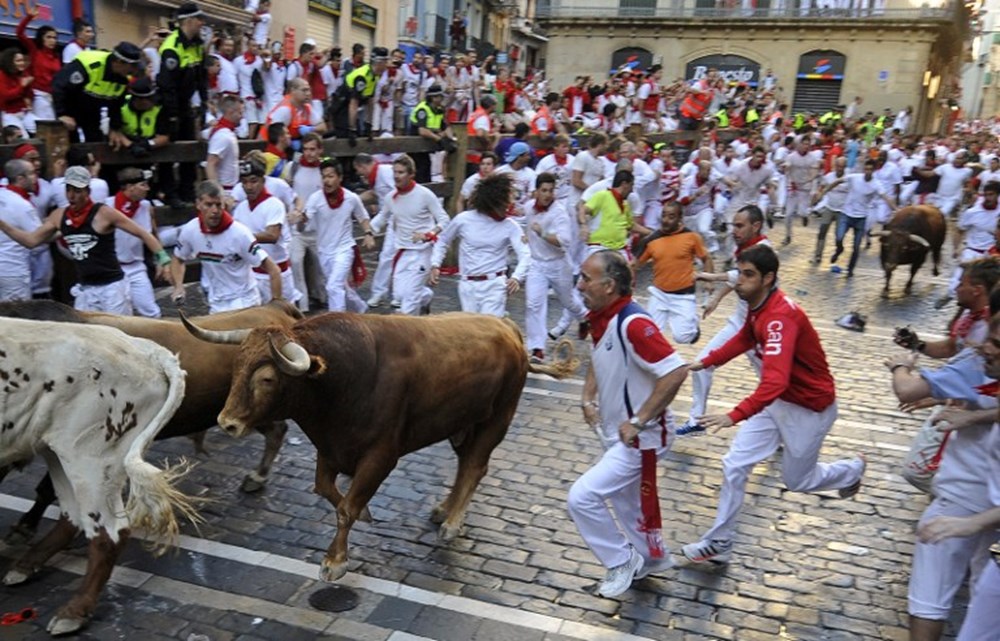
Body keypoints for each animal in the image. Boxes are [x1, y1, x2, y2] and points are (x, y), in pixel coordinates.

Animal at [0, 300, 302, 540]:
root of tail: (275, 308)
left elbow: (45, 488)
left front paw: (25, 528)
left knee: (277, 430)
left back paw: (257, 476)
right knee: (276, 430)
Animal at [0, 318, 194, 636]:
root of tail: (142, 347)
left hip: (92, 458)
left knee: (109, 533)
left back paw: (74, 612)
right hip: (57, 451)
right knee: (72, 515)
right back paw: (24, 566)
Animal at [183, 312, 576, 584]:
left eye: (266, 378)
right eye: (236, 364)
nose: (227, 422)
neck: (346, 377)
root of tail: (509, 329)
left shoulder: (381, 456)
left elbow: (346, 509)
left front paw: (335, 561)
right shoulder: (330, 448)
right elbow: (328, 491)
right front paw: (366, 514)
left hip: (496, 419)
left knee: (475, 467)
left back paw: (452, 522)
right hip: (461, 424)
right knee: (465, 465)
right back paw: (443, 509)